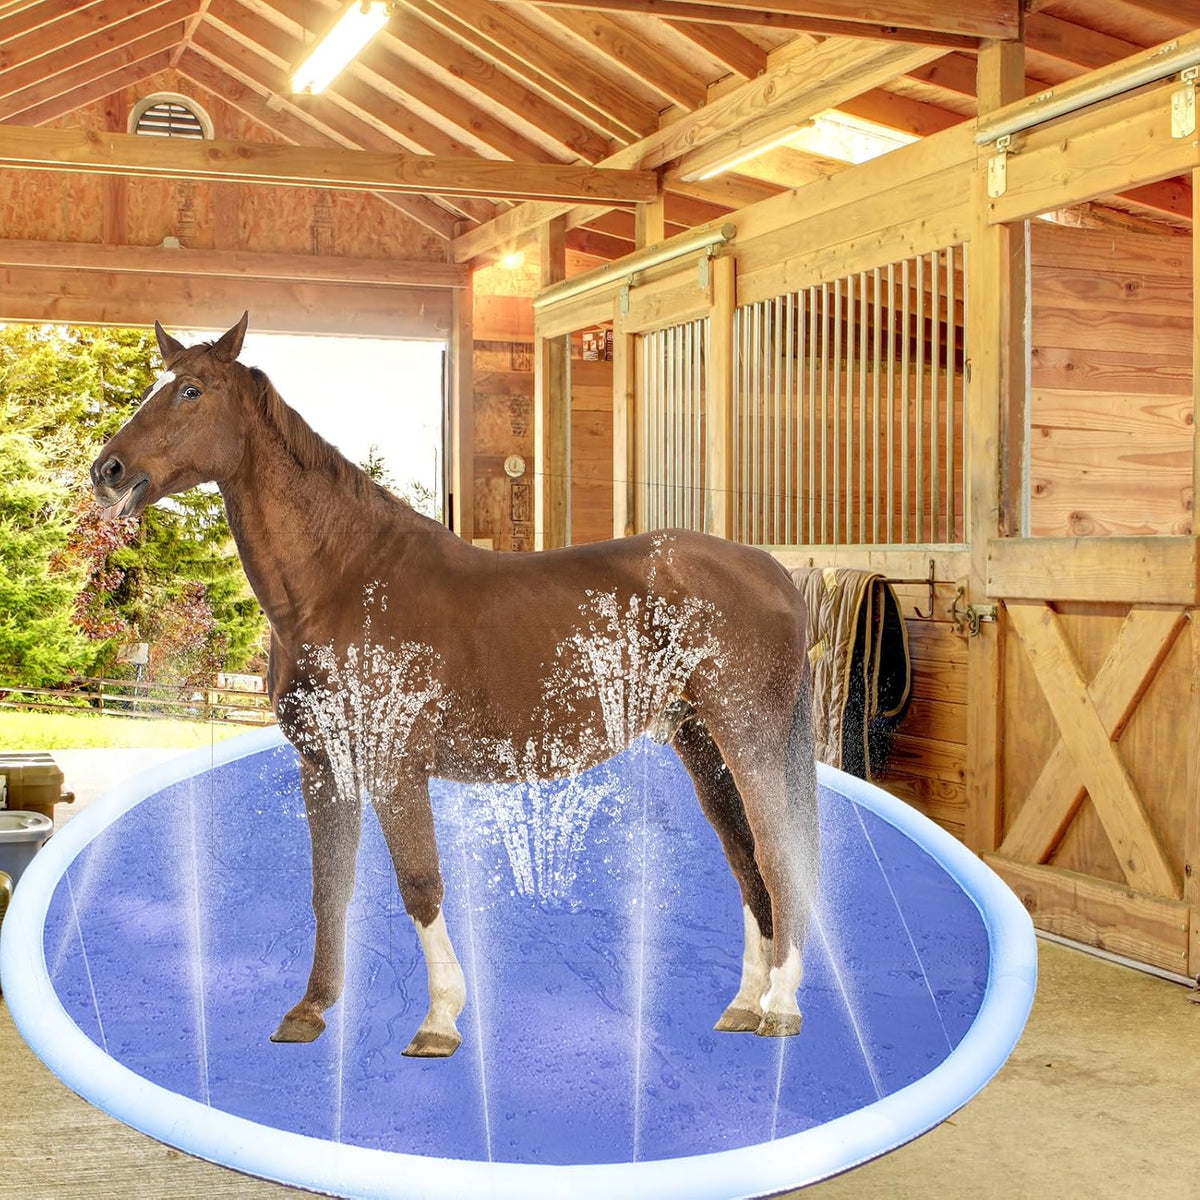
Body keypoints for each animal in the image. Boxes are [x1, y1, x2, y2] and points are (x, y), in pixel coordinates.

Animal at [90, 313, 819, 1059]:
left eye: (191, 391)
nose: (106, 472)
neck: (344, 581)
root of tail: (773, 572)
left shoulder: (395, 765)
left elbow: (419, 884)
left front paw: (440, 1020)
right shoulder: (324, 766)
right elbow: (330, 888)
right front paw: (310, 1011)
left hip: (748, 737)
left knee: (778, 856)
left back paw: (781, 1009)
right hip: (701, 743)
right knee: (744, 859)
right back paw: (744, 1005)